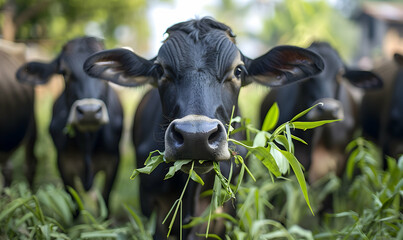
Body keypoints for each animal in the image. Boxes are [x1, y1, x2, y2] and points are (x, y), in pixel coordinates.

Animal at [15, 36, 123, 209]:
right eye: (64, 72)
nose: (89, 112)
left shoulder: (114, 163)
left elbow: (105, 202)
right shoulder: (64, 165)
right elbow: (75, 205)